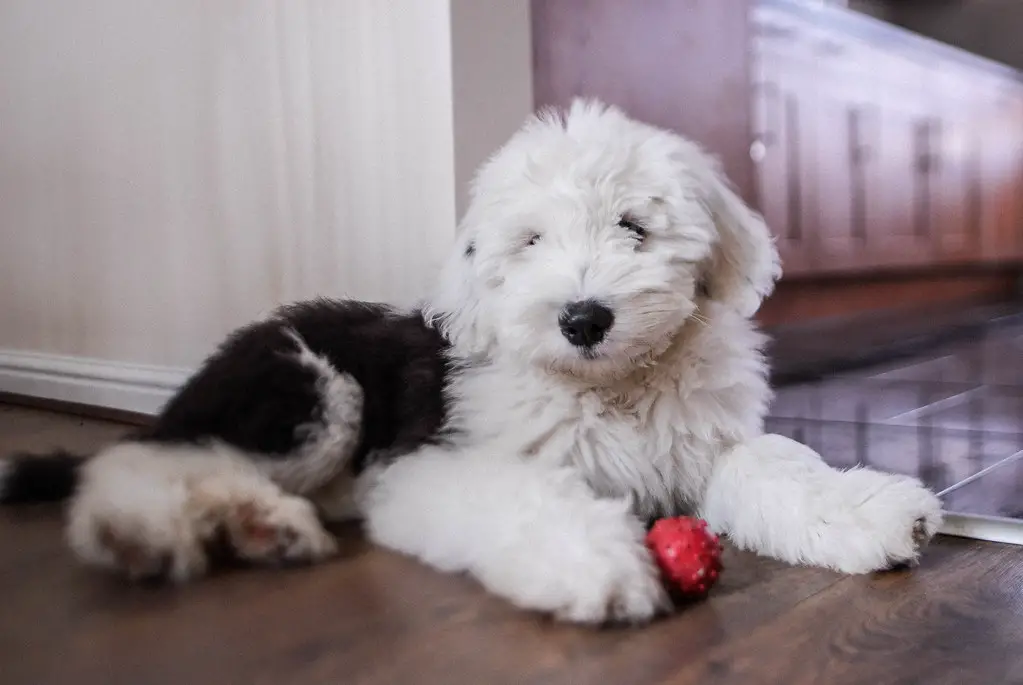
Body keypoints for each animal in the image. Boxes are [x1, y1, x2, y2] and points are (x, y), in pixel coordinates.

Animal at [0, 100, 941, 629]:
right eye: (529, 241)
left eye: (633, 226)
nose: (583, 316)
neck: (609, 390)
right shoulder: (437, 463)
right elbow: (528, 498)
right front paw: (593, 563)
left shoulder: (703, 446)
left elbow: (778, 464)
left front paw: (871, 511)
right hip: (310, 388)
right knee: (139, 460)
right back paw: (153, 532)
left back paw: (261, 526)